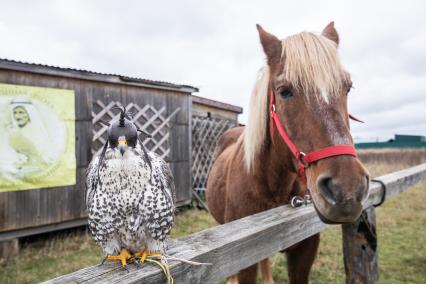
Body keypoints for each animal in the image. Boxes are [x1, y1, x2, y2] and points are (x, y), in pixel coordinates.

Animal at [206, 22, 370, 284]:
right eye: (284, 91)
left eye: (348, 88)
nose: (347, 191)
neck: (272, 186)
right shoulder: (243, 259)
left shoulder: (305, 251)